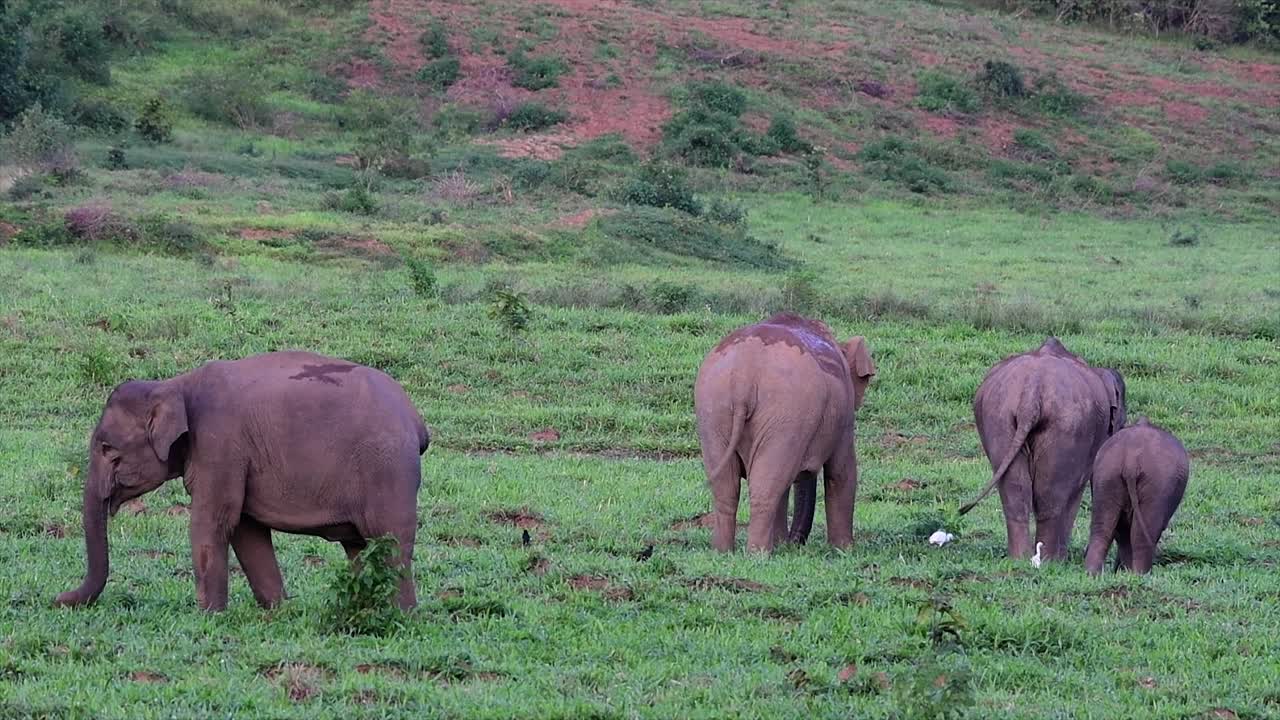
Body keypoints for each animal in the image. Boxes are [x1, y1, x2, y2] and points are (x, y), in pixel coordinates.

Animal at [54, 351, 431, 612]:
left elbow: (213, 521)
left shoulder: (219, 444)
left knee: (391, 541)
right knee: (358, 548)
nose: (58, 598)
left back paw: (403, 615)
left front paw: (208, 616)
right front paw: (278, 611)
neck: (174, 385)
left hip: (388, 470)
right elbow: (246, 530)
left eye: (107, 448)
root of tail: (416, 420)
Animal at [693, 313, 875, 553]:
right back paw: (758, 554)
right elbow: (841, 472)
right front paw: (844, 550)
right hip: (786, 411)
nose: (795, 543)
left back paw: (723, 552)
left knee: (728, 486)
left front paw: (781, 544)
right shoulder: (844, 417)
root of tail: (743, 374)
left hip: (713, 410)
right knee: (767, 484)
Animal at [960, 337, 1125, 561]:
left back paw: (1020, 558)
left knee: (1015, 491)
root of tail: (1032, 390)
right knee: (1051, 495)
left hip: (998, 418)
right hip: (1067, 428)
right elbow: (1075, 490)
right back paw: (1049, 561)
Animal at [1084, 417, 1190, 575]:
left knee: (1103, 527)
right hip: (1157, 484)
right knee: (1142, 532)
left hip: (1106, 475)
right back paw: (1141, 575)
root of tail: (1131, 461)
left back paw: (1092, 574)